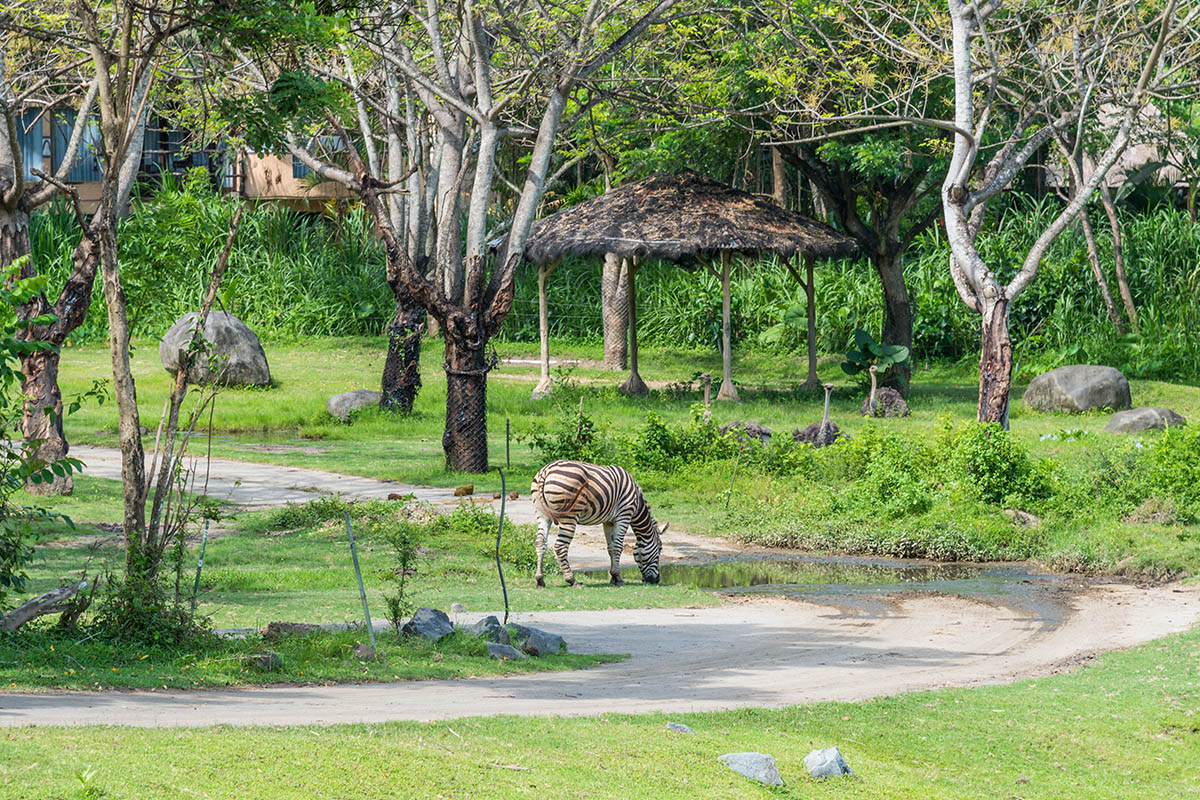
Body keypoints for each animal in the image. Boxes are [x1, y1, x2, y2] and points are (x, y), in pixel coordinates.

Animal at [532, 462, 667, 587]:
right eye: (660, 549)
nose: (656, 581)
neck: (637, 503)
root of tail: (546, 470)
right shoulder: (624, 516)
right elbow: (618, 546)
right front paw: (618, 578)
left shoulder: (608, 521)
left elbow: (611, 547)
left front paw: (613, 578)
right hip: (569, 516)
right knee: (560, 546)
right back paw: (572, 580)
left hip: (542, 514)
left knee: (540, 542)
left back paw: (540, 580)